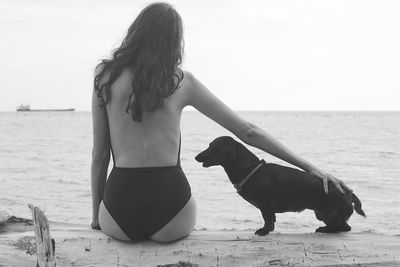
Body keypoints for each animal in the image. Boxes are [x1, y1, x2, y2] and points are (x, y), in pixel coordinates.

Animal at [195, 137, 366, 236]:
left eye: (212, 147)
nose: (196, 157)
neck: (251, 169)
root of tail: (347, 193)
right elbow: (271, 220)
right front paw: (268, 230)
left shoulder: (265, 205)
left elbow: (267, 219)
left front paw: (263, 231)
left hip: (329, 215)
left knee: (345, 228)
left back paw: (324, 229)